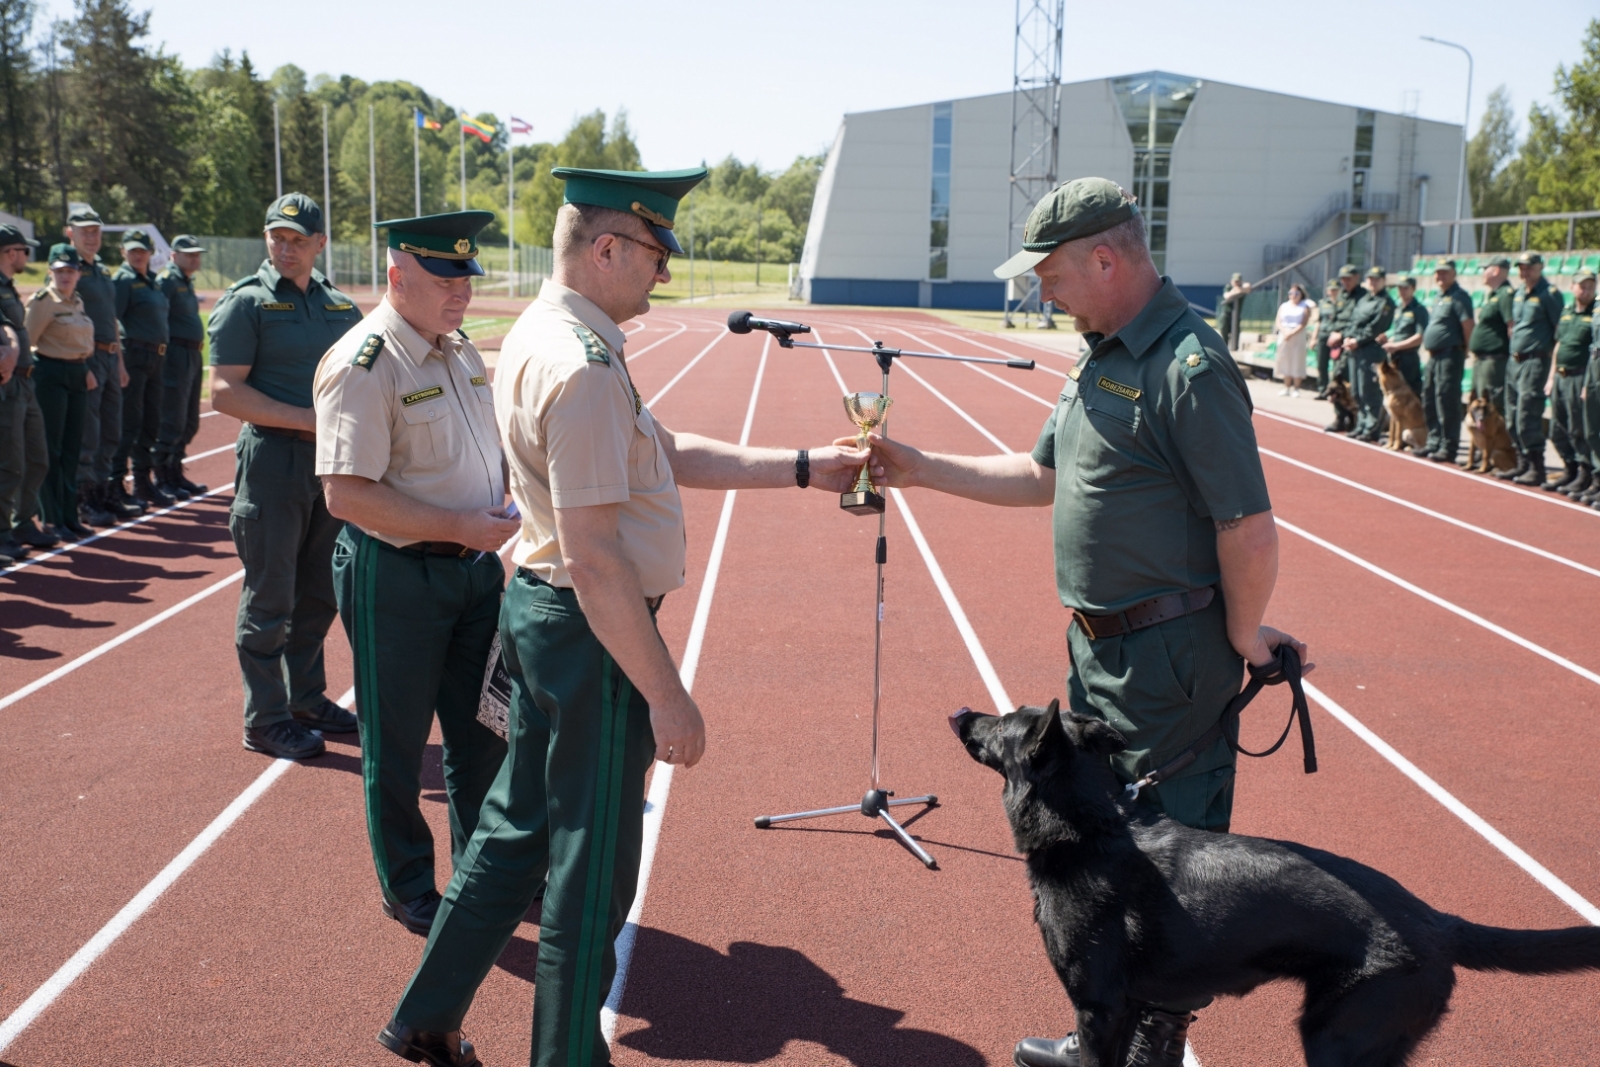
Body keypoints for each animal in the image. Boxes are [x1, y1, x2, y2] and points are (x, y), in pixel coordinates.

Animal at [947, 700, 1600, 1067]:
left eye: (1003, 722)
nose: (958, 714)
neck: (1091, 826)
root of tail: (1436, 920)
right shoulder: (1126, 1007)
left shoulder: (1098, 1008)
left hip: (1337, 1042)